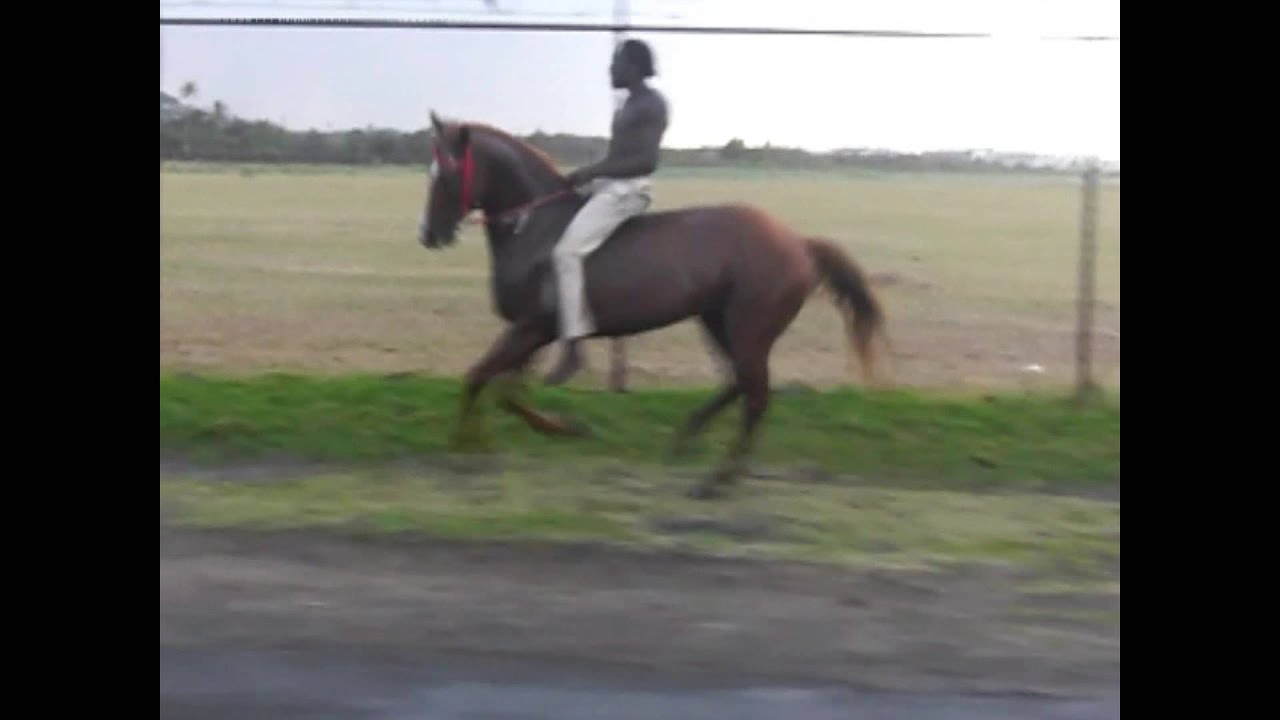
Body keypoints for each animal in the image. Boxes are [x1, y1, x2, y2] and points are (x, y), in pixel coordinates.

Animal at [417, 112, 890, 499]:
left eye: (445, 172)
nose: (428, 234)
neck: (534, 228)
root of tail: (799, 243)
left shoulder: (532, 329)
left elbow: (481, 380)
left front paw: (488, 441)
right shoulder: (527, 333)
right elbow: (501, 390)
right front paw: (484, 442)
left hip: (748, 328)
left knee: (756, 395)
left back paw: (718, 479)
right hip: (716, 320)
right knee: (739, 381)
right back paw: (688, 437)